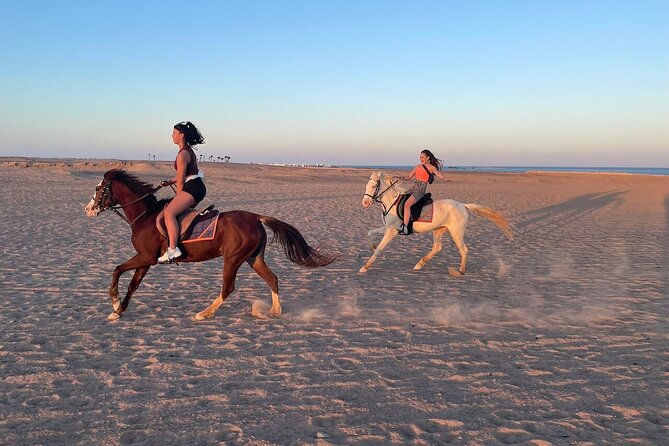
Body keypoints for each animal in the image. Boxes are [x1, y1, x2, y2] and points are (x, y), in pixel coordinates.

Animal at [84, 169, 334, 321]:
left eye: (98, 189)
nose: (88, 210)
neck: (145, 215)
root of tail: (256, 217)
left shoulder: (146, 257)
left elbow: (117, 270)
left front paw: (114, 302)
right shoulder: (146, 260)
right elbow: (133, 284)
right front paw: (118, 311)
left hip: (232, 259)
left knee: (228, 287)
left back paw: (204, 313)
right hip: (253, 258)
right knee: (272, 279)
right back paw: (274, 311)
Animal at [360, 171, 513, 274]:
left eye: (373, 186)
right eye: (366, 186)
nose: (365, 203)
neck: (392, 202)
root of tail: (462, 205)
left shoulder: (392, 231)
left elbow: (380, 248)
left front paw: (364, 267)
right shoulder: (387, 227)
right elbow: (369, 233)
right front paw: (372, 246)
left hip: (456, 233)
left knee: (463, 250)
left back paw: (460, 271)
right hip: (439, 230)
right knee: (437, 248)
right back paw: (419, 264)